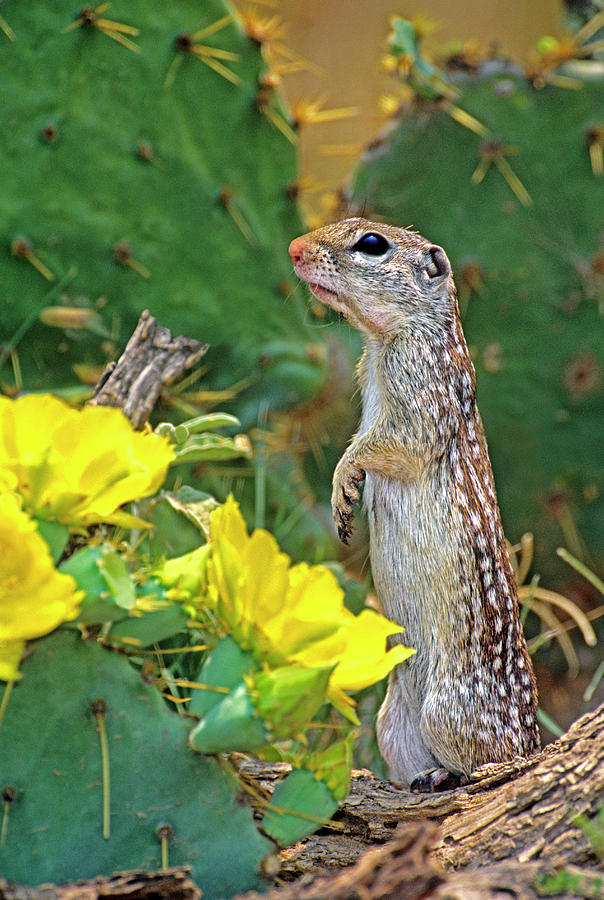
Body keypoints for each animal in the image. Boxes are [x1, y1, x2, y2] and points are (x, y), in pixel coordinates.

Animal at [290, 216, 540, 788]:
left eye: (372, 244)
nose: (294, 248)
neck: (388, 339)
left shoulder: (420, 389)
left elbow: (383, 445)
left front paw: (344, 483)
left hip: (447, 713)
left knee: (493, 760)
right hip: (393, 724)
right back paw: (424, 778)